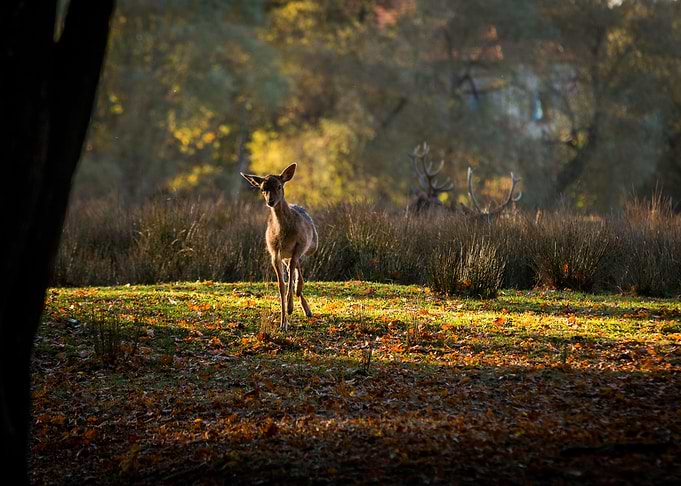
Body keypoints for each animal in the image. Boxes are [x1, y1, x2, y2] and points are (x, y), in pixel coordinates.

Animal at [240, 164, 318, 331]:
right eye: (263, 189)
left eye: (279, 186)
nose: (271, 201)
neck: (283, 235)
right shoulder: (274, 253)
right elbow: (281, 286)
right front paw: (283, 323)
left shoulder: (300, 244)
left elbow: (291, 273)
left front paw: (290, 307)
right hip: (284, 255)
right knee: (291, 267)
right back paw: (305, 307)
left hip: (312, 245)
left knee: (295, 266)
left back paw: (300, 294)